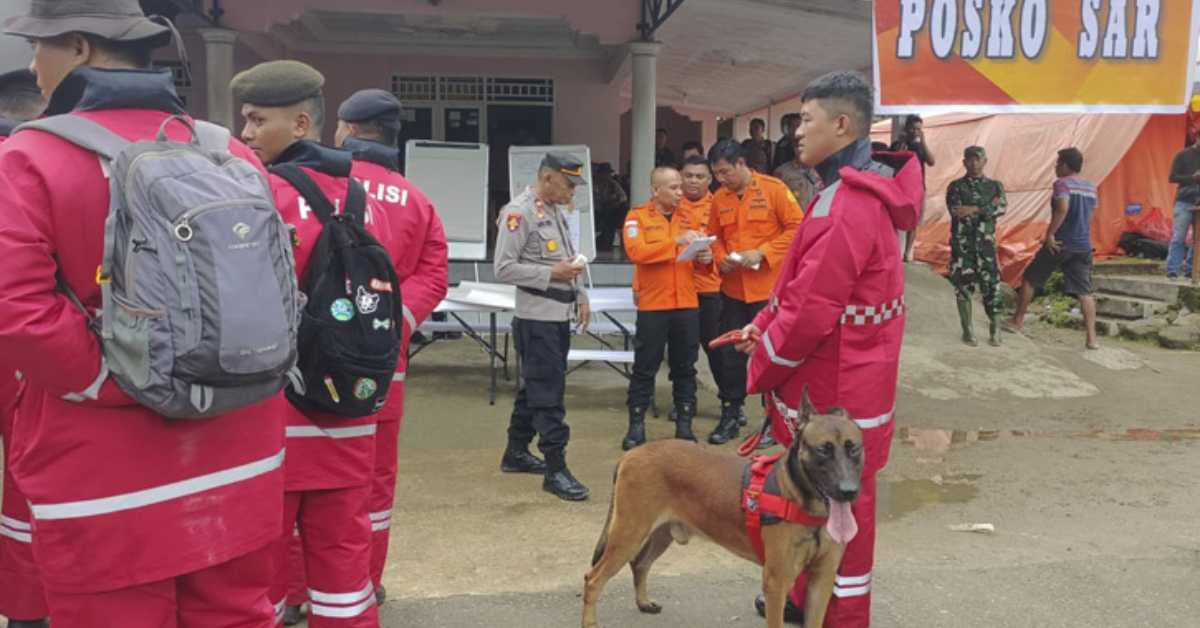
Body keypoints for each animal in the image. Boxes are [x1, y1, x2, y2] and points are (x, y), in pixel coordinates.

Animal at [580, 393, 864, 628]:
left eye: (854, 449)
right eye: (823, 450)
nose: (848, 491)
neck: (803, 501)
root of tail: (632, 454)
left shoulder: (821, 580)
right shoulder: (776, 583)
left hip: (661, 534)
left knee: (640, 564)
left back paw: (643, 602)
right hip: (628, 535)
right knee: (592, 580)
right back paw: (591, 622)